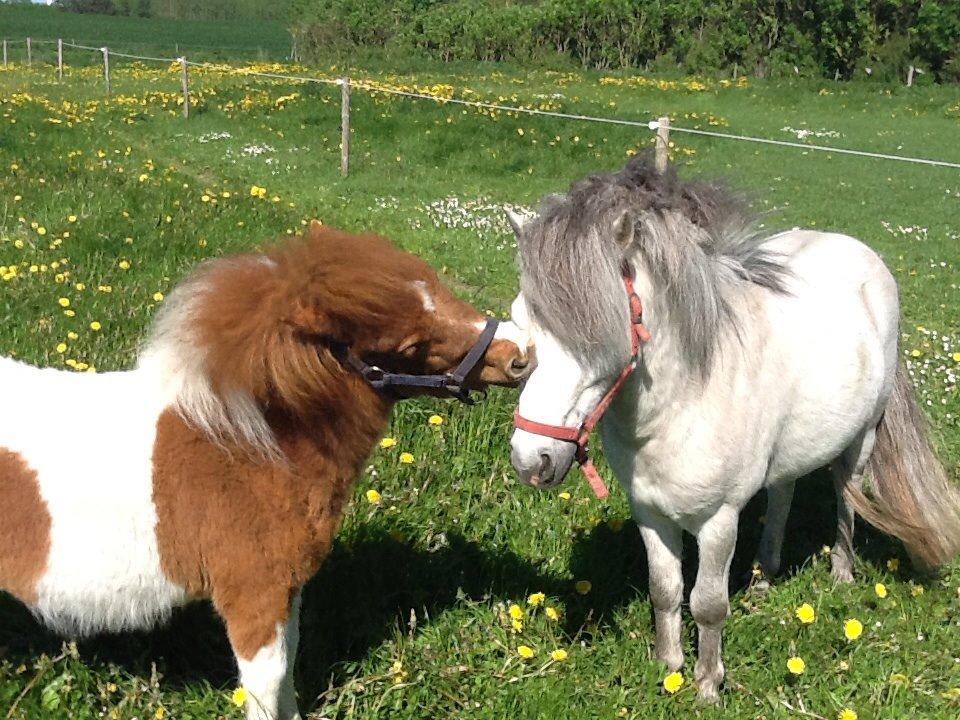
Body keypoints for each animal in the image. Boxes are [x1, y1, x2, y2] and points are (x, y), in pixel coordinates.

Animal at [0, 222, 532, 716]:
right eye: (407, 345)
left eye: (437, 285)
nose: (520, 356)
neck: (254, 444)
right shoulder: (255, 589)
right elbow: (267, 680)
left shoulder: (288, 586)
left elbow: (289, 666)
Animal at [506, 155, 960, 700]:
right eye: (521, 320)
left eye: (600, 332)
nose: (530, 461)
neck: (684, 400)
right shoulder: (649, 513)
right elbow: (665, 590)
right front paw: (668, 666)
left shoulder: (718, 520)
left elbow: (708, 604)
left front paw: (706, 684)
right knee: (783, 494)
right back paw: (765, 578)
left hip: (863, 440)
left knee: (846, 497)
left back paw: (841, 575)